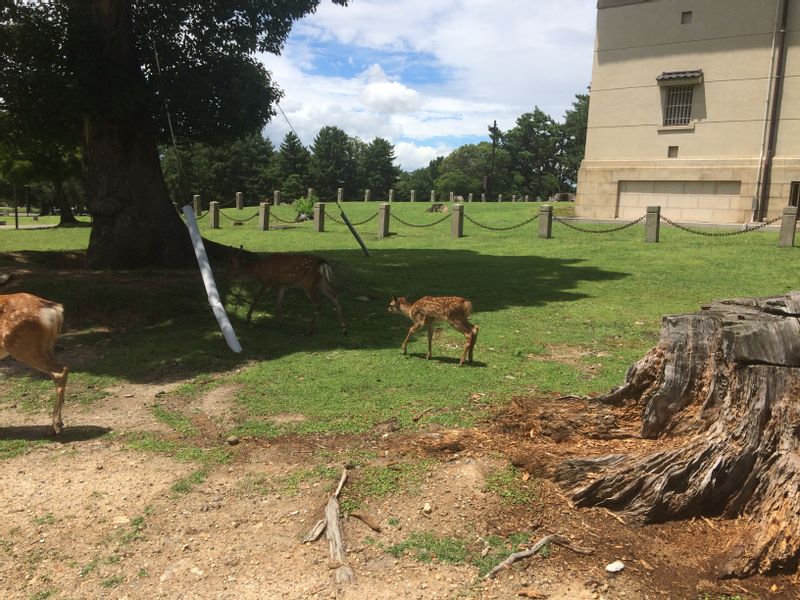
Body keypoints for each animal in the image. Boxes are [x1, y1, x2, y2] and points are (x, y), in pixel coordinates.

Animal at [0, 290, 68, 434]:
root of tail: (55, 309)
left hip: (24, 346)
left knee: (60, 371)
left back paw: (55, 425)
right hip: (45, 346)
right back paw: (58, 424)